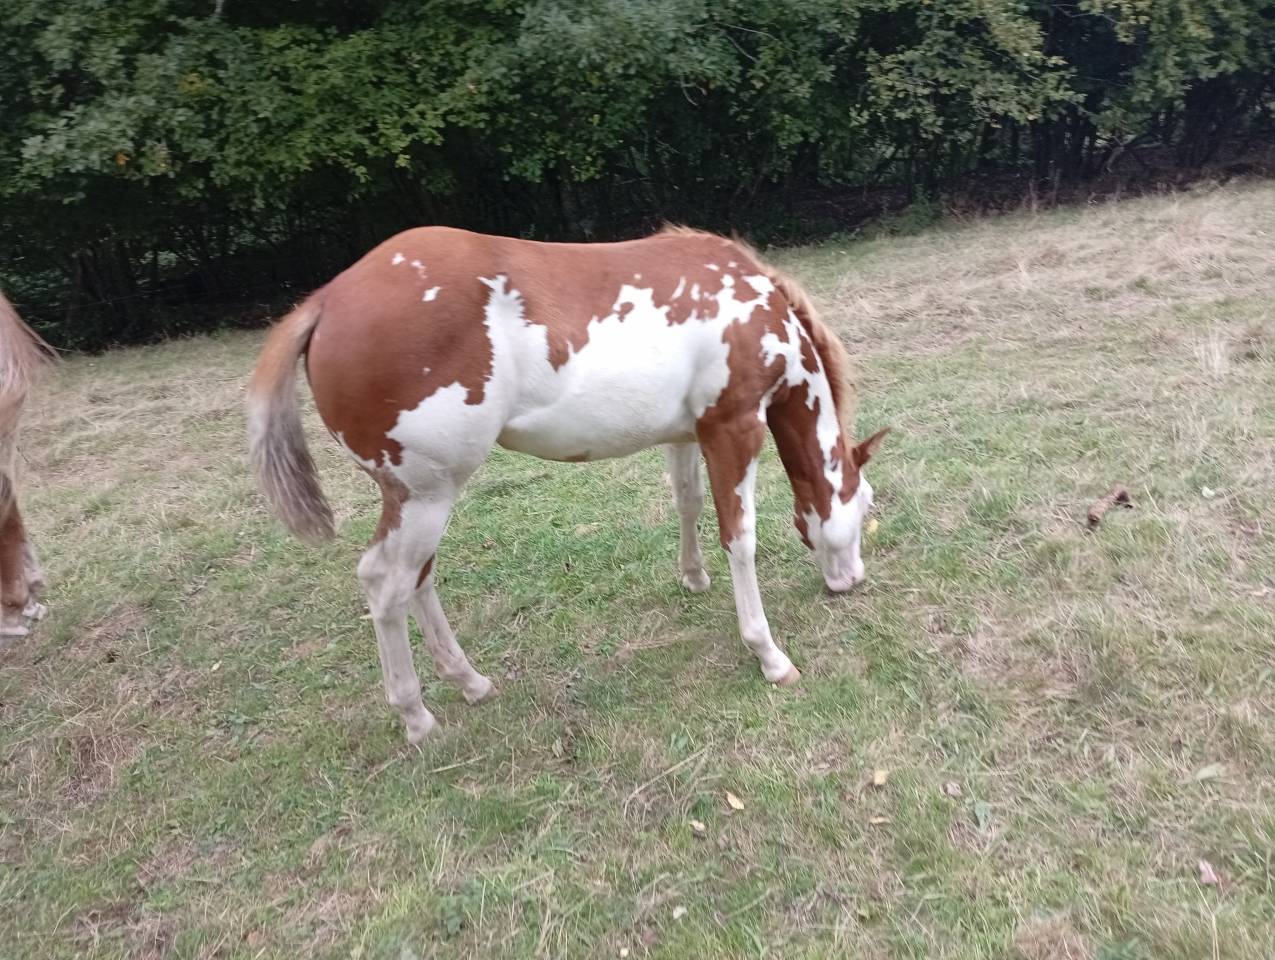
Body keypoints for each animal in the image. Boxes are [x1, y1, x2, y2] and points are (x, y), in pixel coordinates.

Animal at [248, 225, 888, 744]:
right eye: (867, 503)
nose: (852, 580)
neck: (755, 308)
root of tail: (326, 301)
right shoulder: (735, 430)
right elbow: (741, 538)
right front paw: (768, 654)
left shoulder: (690, 432)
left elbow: (687, 501)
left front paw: (693, 576)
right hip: (427, 496)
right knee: (385, 585)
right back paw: (416, 717)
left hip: (417, 499)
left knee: (417, 580)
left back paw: (470, 681)